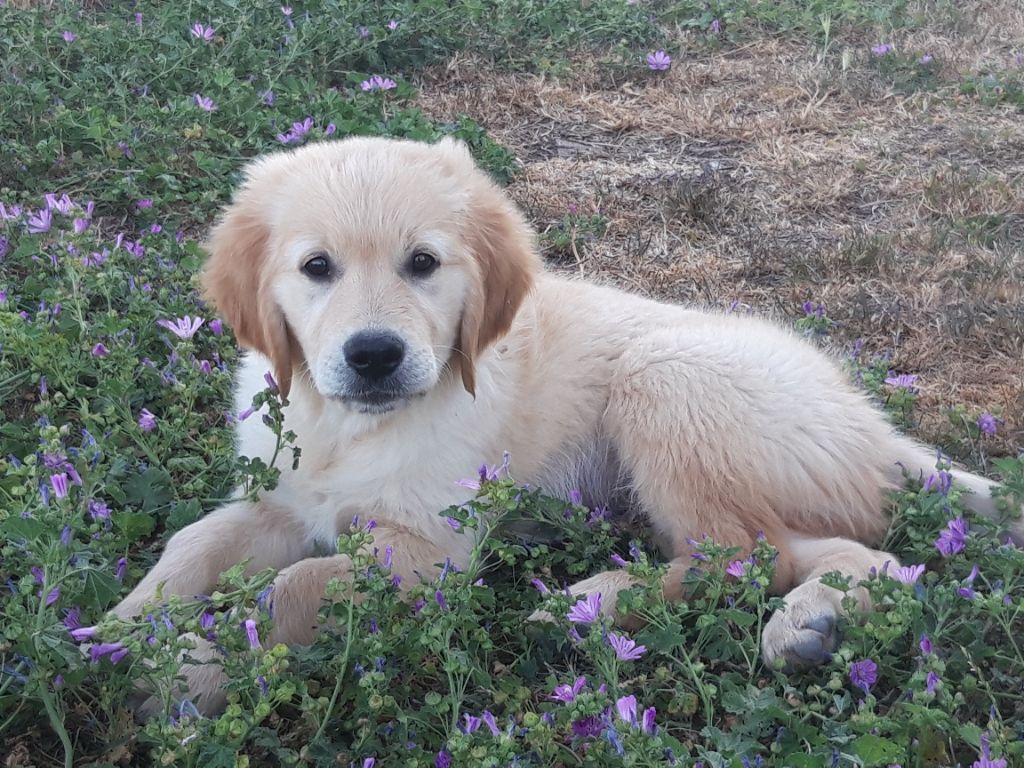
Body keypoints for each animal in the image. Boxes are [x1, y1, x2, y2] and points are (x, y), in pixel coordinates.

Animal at [111, 136, 1017, 714]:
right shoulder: (284, 498)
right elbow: (192, 540)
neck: (351, 425)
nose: (373, 355)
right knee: (860, 556)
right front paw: (117, 630)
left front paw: (197, 670)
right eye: (316, 267)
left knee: (742, 556)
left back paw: (597, 603)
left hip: (667, 379)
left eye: (423, 264)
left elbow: (294, 585)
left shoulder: (434, 552)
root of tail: (873, 421)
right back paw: (812, 623)